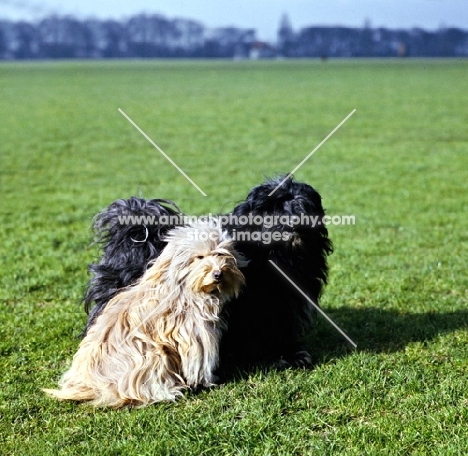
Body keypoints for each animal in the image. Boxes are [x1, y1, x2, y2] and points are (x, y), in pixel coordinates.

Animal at [44, 219, 247, 408]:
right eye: (199, 257)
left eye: (220, 254)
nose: (218, 273)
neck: (182, 285)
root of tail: (92, 386)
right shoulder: (193, 334)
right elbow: (198, 361)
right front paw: (207, 381)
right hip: (153, 356)